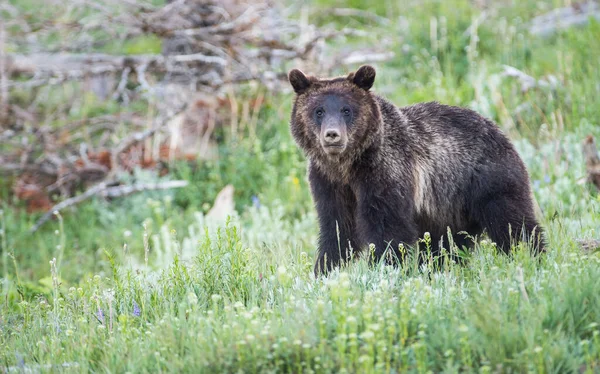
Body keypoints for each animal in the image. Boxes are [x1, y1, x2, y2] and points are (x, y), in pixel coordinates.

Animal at [288, 64, 548, 276]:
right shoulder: (328, 182)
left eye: (346, 110)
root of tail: (498, 129)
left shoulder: (384, 172)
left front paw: (383, 268)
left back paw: (532, 256)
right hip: (448, 210)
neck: (347, 165)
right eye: (318, 111)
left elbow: (388, 229)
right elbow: (338, 228)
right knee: (447, 246)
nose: (332, 135)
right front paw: (326, 269)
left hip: (487, 181)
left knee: (512, 223)